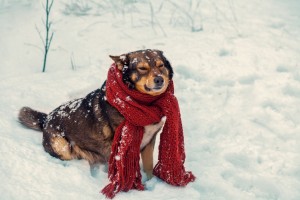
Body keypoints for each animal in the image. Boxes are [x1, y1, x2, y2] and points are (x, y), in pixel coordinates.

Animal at [18, 49, 173, 179]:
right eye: (142, 68)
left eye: (161, 65)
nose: (159, 79)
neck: (143, 104)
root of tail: (47, 118)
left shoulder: (149, 141)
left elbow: (148, 168)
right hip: (63, 146)